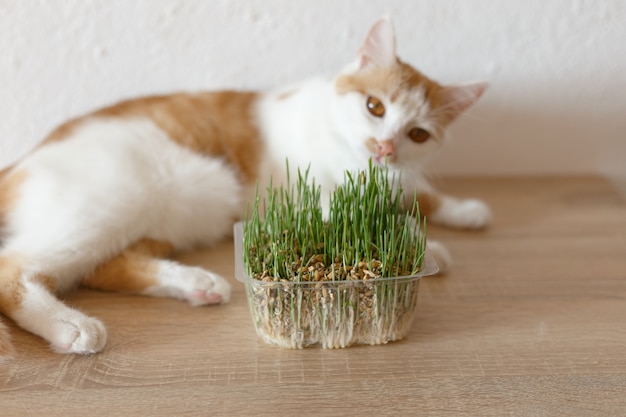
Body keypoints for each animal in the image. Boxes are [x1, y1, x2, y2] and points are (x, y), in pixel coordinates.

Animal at [0, 17, 488, 360]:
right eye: (374, 106)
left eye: (418, 134)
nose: (384, 146)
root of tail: (22, 160)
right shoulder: (309, 191)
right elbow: (358, 214)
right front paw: (426, 243)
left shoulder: (395, 176)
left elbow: (416, 192)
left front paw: (465, 210)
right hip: (113, 202)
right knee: (14, 268)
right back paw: (71, 326)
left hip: (166, 220)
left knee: (105, 267)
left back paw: (196, 283)